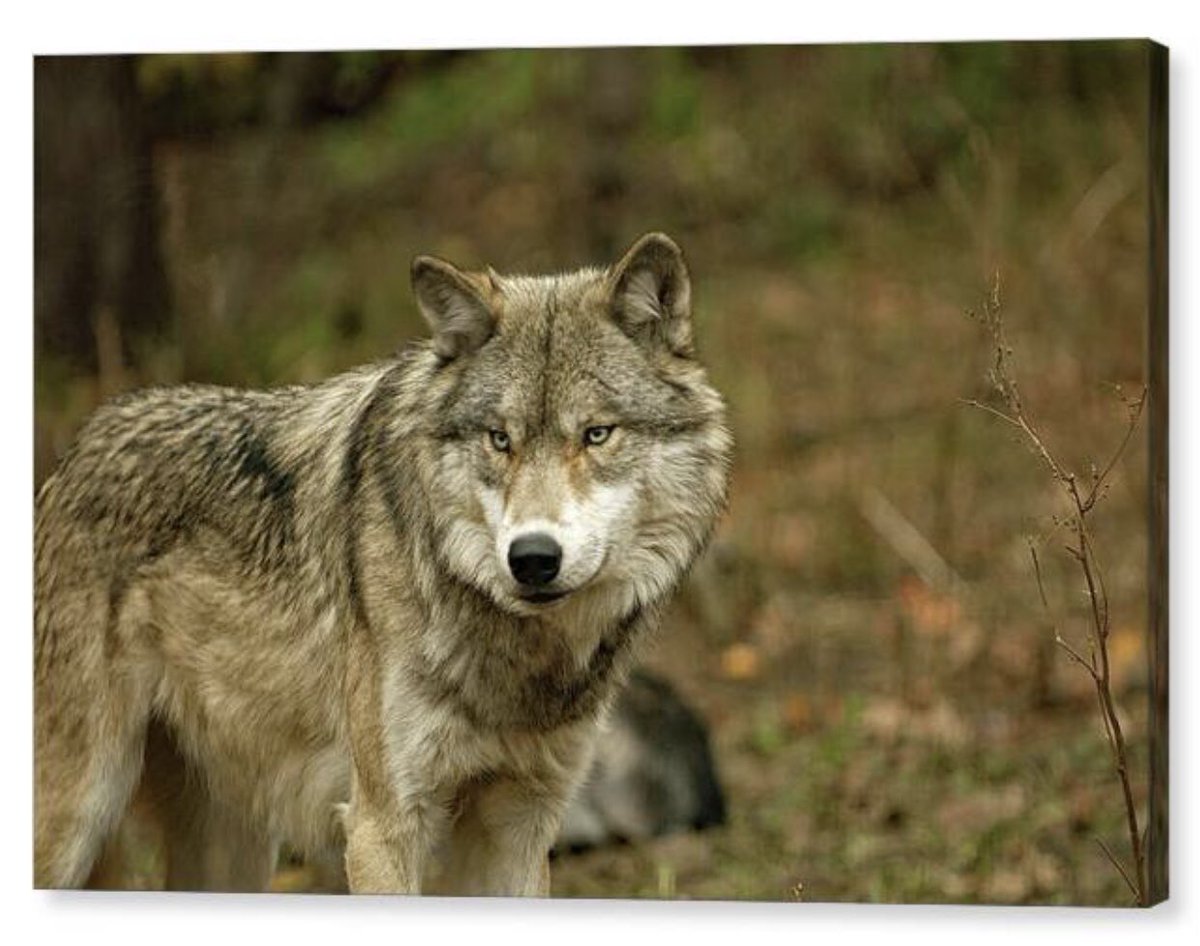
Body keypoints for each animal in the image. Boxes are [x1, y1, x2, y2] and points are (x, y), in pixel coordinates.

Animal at [34, 232, 732, 895]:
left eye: (596, 434)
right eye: (499, 440)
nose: (532, 559)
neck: (516, 660)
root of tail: (75, 451)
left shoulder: (521, 822)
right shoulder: (382, 823)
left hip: (232, 850)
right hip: (77, 819)